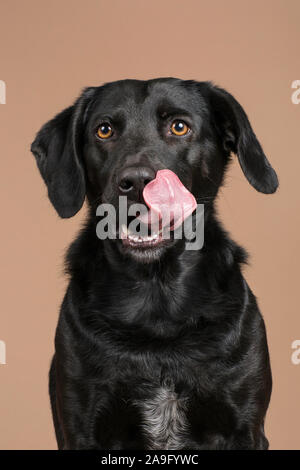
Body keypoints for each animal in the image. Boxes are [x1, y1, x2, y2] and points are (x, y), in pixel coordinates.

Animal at [31, 79, 278, 450]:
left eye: (179, 127)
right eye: (104, 130)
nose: (135, 182)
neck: (156, 296)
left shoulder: (244, 427)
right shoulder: (82, 426)